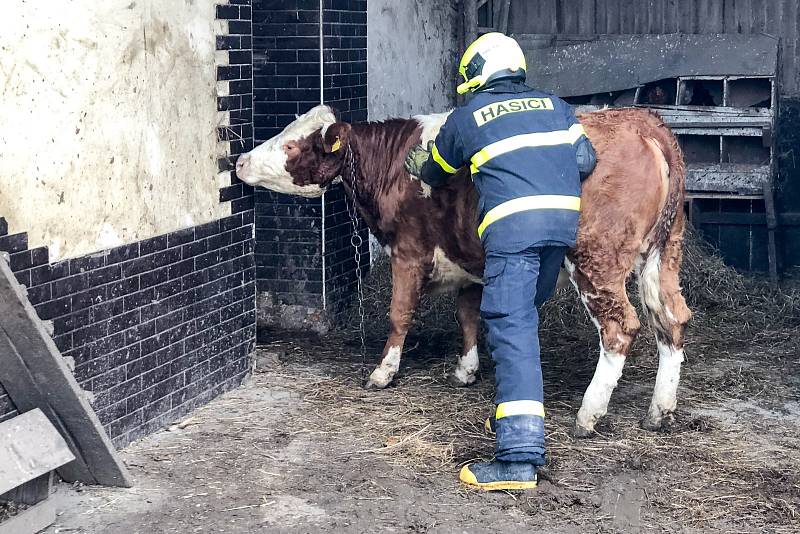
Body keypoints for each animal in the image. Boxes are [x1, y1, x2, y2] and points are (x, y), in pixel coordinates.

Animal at [234, 104, 692, 436]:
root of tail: (639, 121)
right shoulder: (473, 259)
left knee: (620, 328)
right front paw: (466, 370)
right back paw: (659, 412)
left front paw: (383, 372)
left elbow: (399, 314)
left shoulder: (408, 252)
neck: (391, 165)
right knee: (672, 320)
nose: (239, 161)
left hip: (596, 259)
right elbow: (468, 315)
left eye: (291, 146)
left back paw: (589, 414)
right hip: (663, 255)